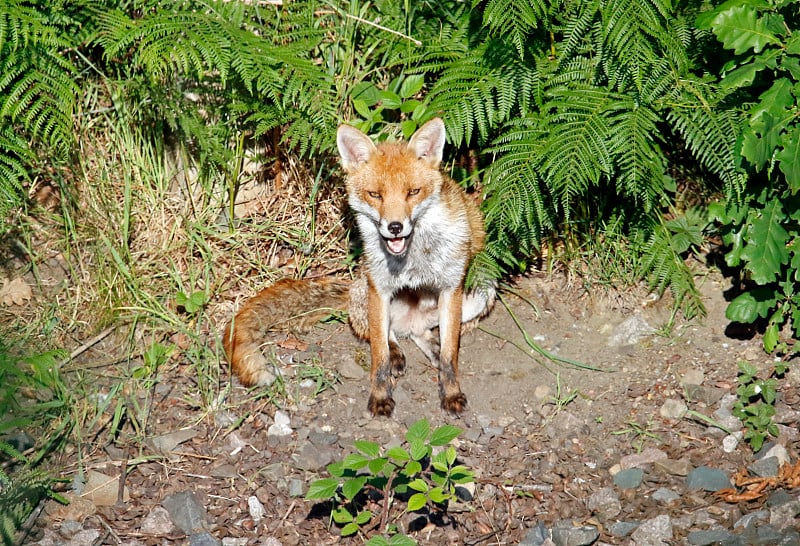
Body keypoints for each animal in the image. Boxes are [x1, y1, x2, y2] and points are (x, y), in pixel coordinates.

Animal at [223, 119, 494, 414]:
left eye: (413, 192)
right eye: (375, 195)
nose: (395, 227)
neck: (413, 259)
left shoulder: (451, 289)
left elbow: (449, 355)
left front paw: (451, 392)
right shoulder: (379, 290)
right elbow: (379, 355)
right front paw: (380, 396)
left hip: (482, 292)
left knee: (419, 333)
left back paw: (430, 345)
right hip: (366, 294)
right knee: (382, 334)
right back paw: (396, 351)